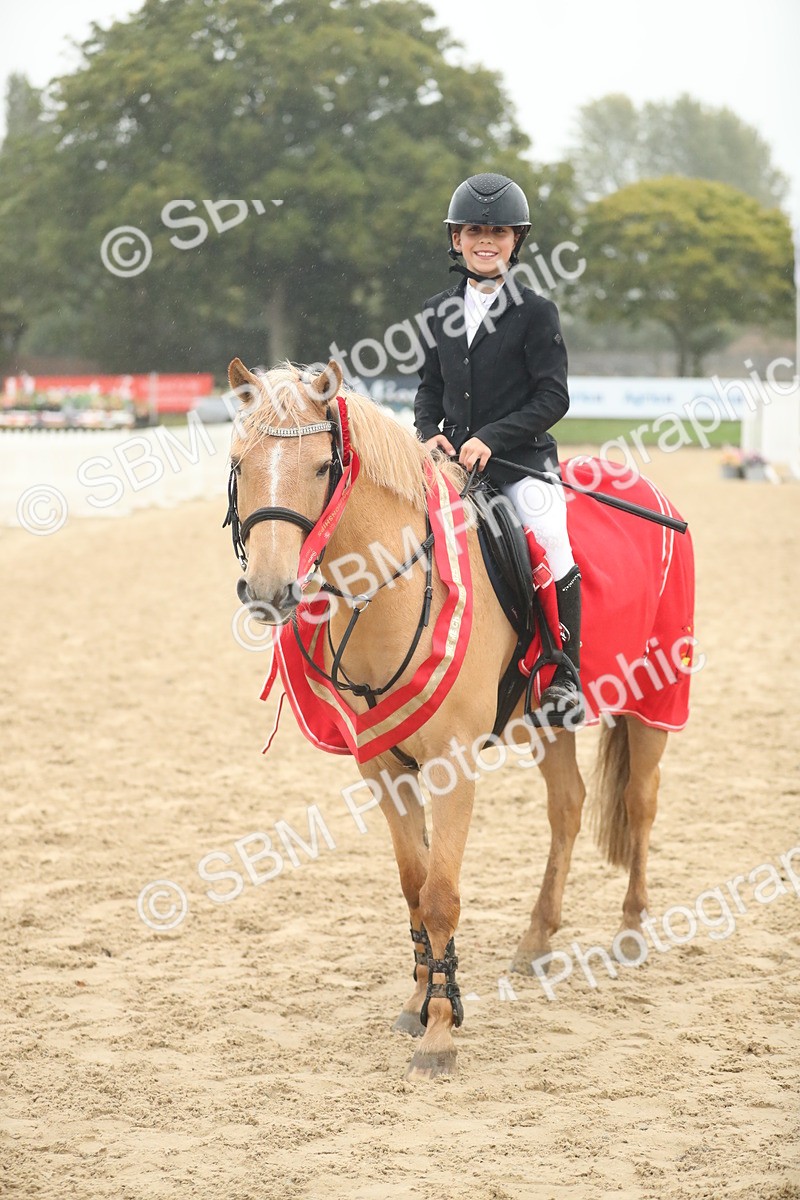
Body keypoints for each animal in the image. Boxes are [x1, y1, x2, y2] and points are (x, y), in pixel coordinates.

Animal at [224, 356, 695, 1080]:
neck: (388, 591)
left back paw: (631, 930)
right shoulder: (383, 767)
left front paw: (441, 1032)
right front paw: (419, 1000)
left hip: (655, 701)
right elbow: (414, 886)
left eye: (323, 467)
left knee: (640, 805)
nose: (272, 592)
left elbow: (442, 892)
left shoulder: (452, 764)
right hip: (550, 723)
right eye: (240, 462)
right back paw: (536, 939)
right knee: (568, 807)